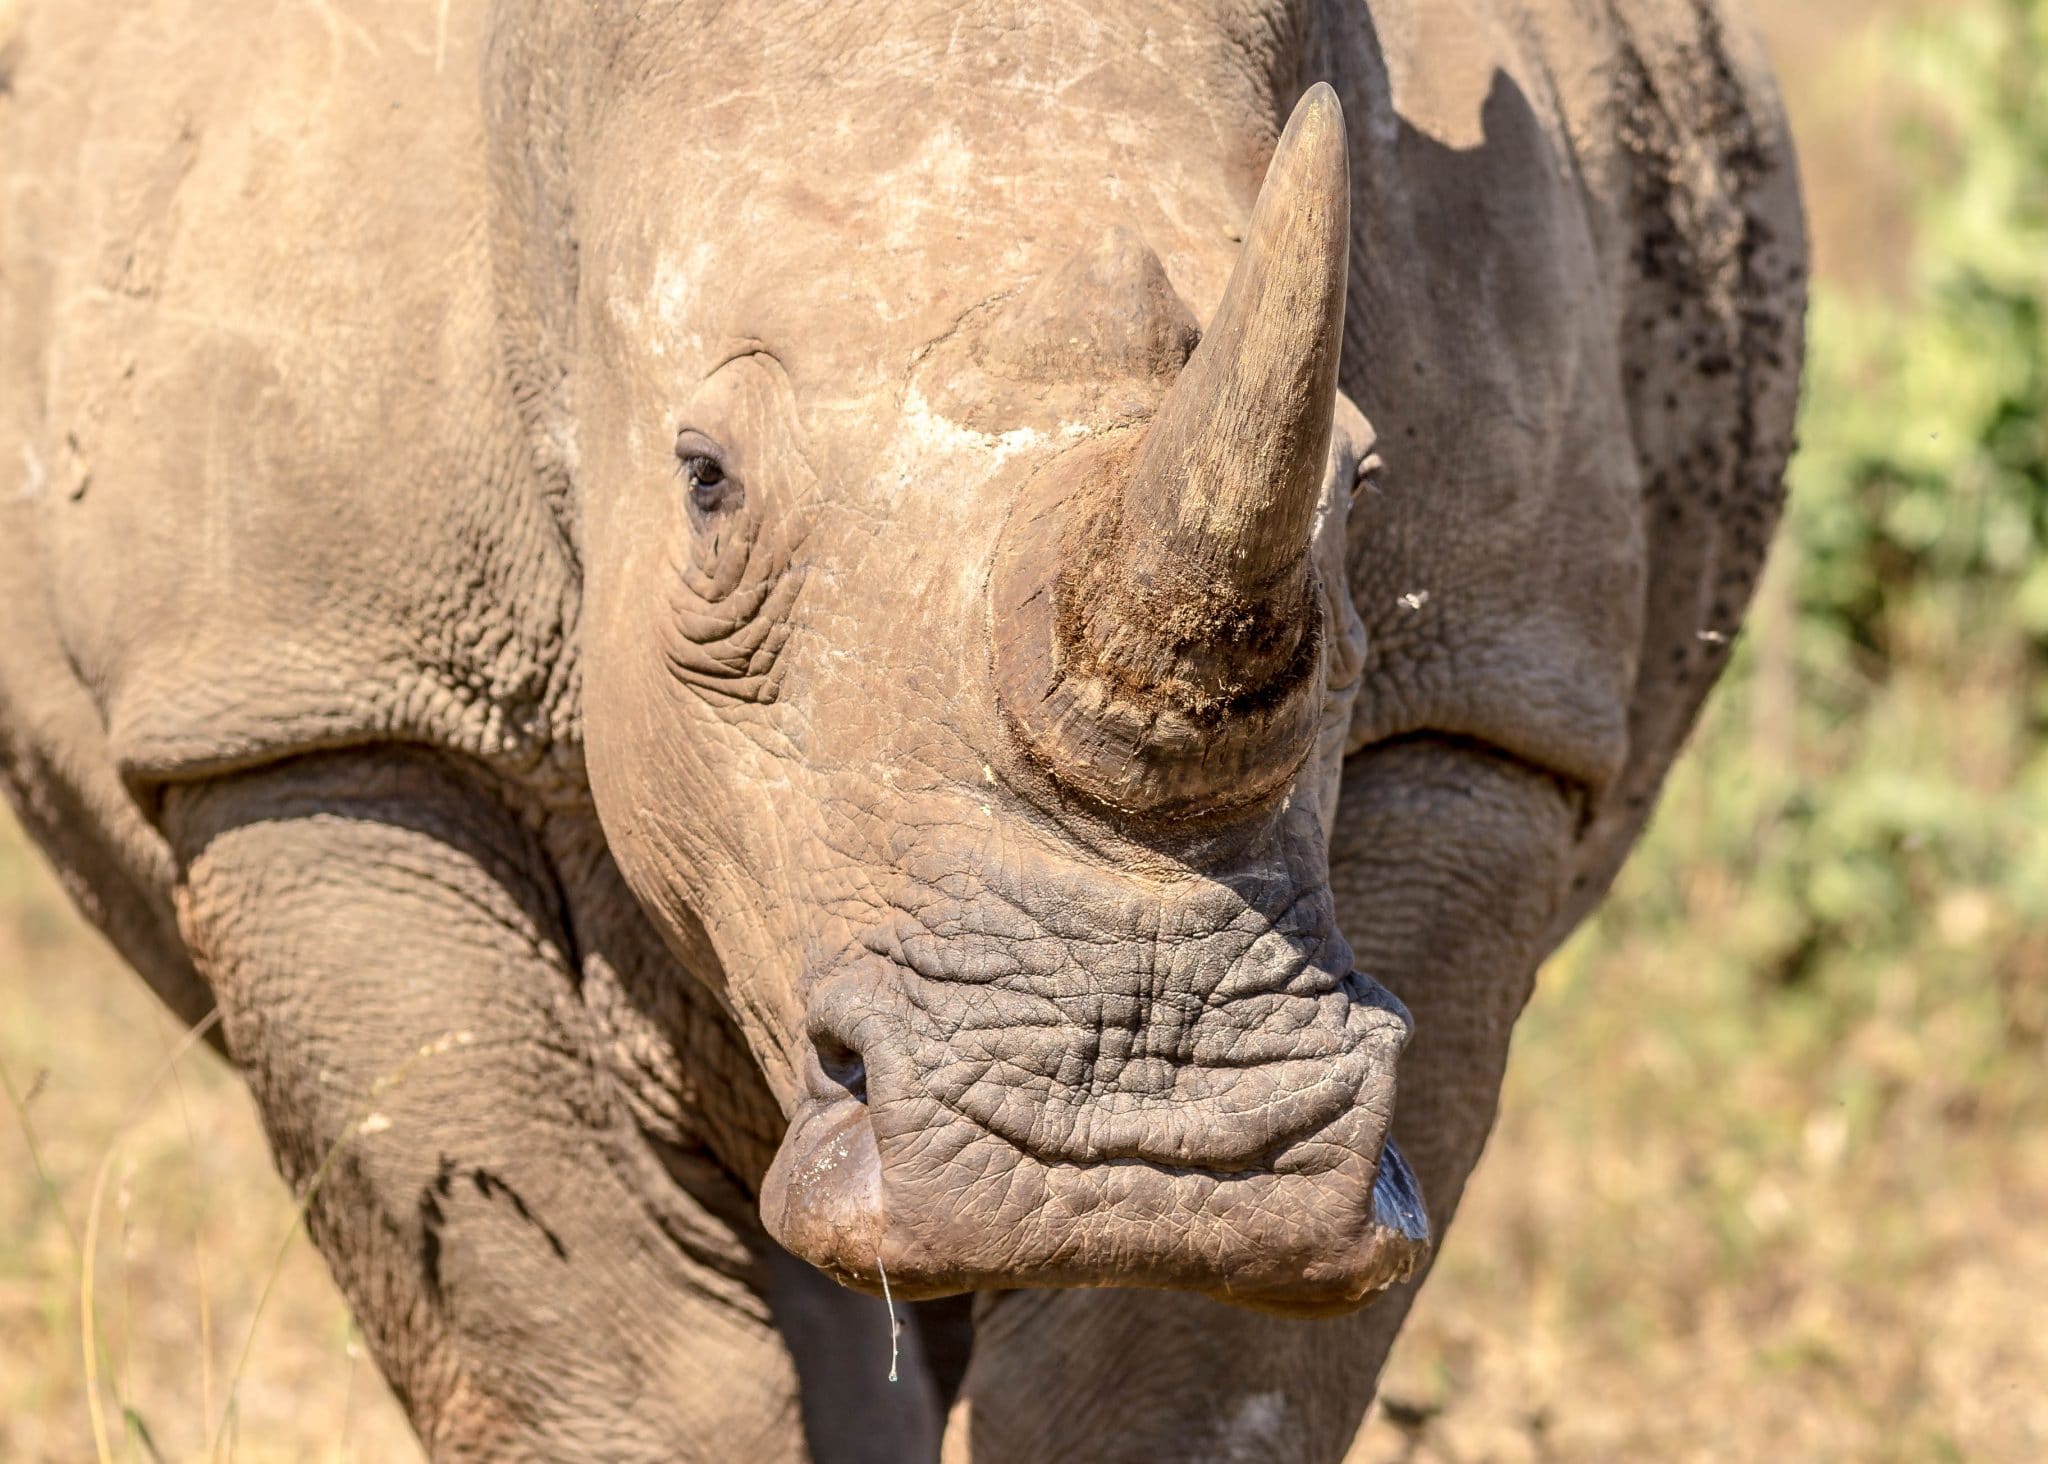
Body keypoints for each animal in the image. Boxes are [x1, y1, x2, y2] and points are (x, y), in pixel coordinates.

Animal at [0, 0, 1803, 1458]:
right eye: (703, 483)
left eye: (1362, 486)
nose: (1128, 1142)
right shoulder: (315, 701)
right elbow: (595, 1348)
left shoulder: (1486, 717)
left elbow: (1175, 1383)